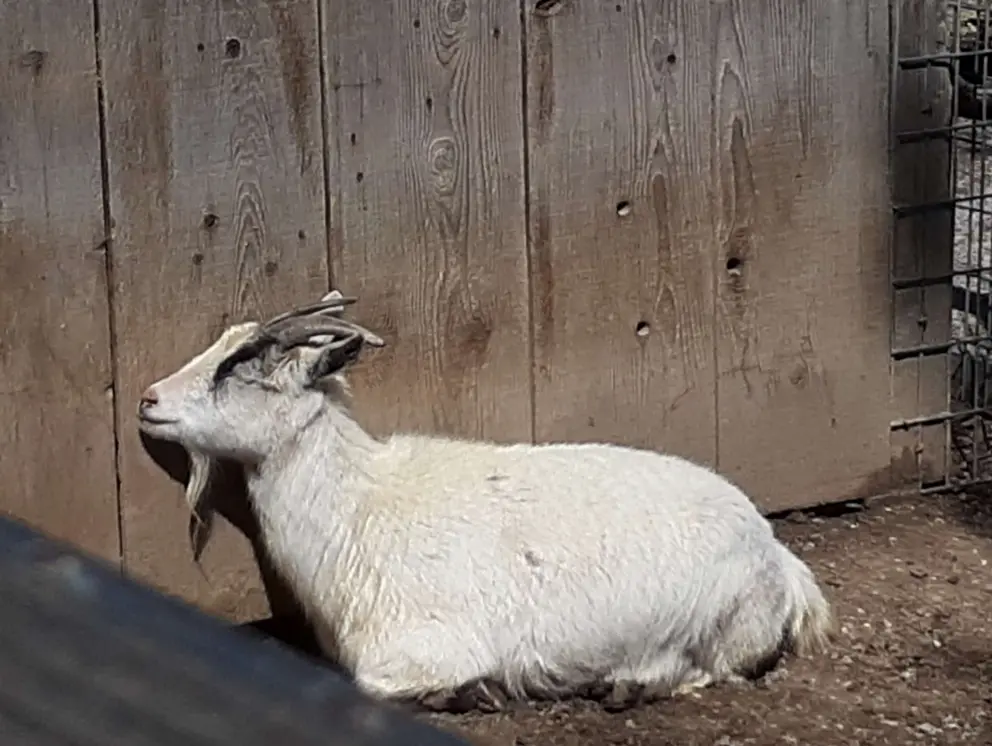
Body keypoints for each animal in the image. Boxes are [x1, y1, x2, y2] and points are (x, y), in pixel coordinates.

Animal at [136, 293, 835, 711]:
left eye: (242, 362)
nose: (148, 400)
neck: (359, 505)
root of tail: (780, 559)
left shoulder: (423, 646)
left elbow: (378, 683)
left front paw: (473, 694)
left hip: (721, 629)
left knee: (712, 669)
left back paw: (625, 685)